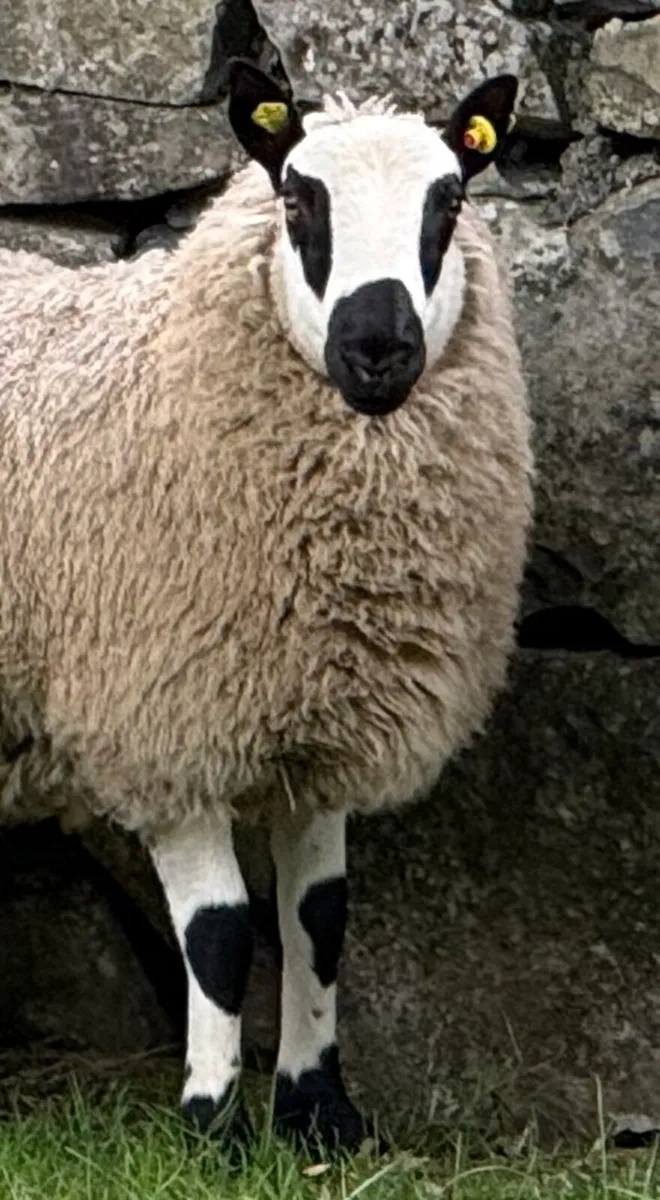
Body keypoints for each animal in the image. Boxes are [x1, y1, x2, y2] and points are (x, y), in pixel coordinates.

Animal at [0, 57, 533, 1154]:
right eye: (298, 200)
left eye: (449, 203)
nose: (377, 347)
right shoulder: (167, 719)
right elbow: (221, 932)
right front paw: (212, 1122)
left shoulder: (326, 724)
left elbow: (318, 919)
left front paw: (320, 1109)